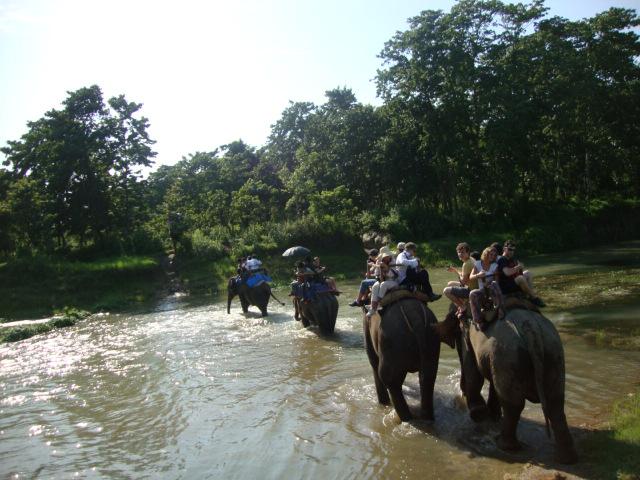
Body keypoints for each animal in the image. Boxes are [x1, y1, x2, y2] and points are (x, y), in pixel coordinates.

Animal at [444, 308, 580, 464]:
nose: (460, 394)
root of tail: (531, 330)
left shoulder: (468, 339)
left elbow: (473, 372)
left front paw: (479, 415)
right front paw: (491, 416)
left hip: (508, 356)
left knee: (513, 405)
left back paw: (504, 445)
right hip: (552, 354)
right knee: (555, 403)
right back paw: (567, 459)